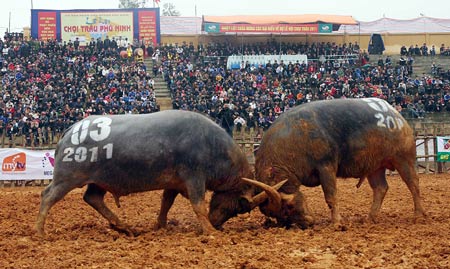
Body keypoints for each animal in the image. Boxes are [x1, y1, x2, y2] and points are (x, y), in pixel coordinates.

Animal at [37, 110, 280, 236]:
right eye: (239, 207)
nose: (217, 223)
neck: (211, 145)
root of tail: (71, 130)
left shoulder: (174, 183)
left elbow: (166, 202)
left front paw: (160, 225)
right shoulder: (194, 178)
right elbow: (198, 205)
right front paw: (210, 231)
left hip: (98, 181)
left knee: (93, 198)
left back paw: (125, 227)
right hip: (67, 178)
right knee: (48, 196)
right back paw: (39, 231)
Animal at [209, 98, 428, 228]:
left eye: (288, 208)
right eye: (281, 215)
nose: (308, 222)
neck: (294, 139)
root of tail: (397, 115)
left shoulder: (326, 166)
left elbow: (331, 196)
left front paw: (336, 223)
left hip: (404, 158)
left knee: (414, 184)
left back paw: (419, 215)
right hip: (375, 166)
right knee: (381, 188)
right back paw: (371, 217)